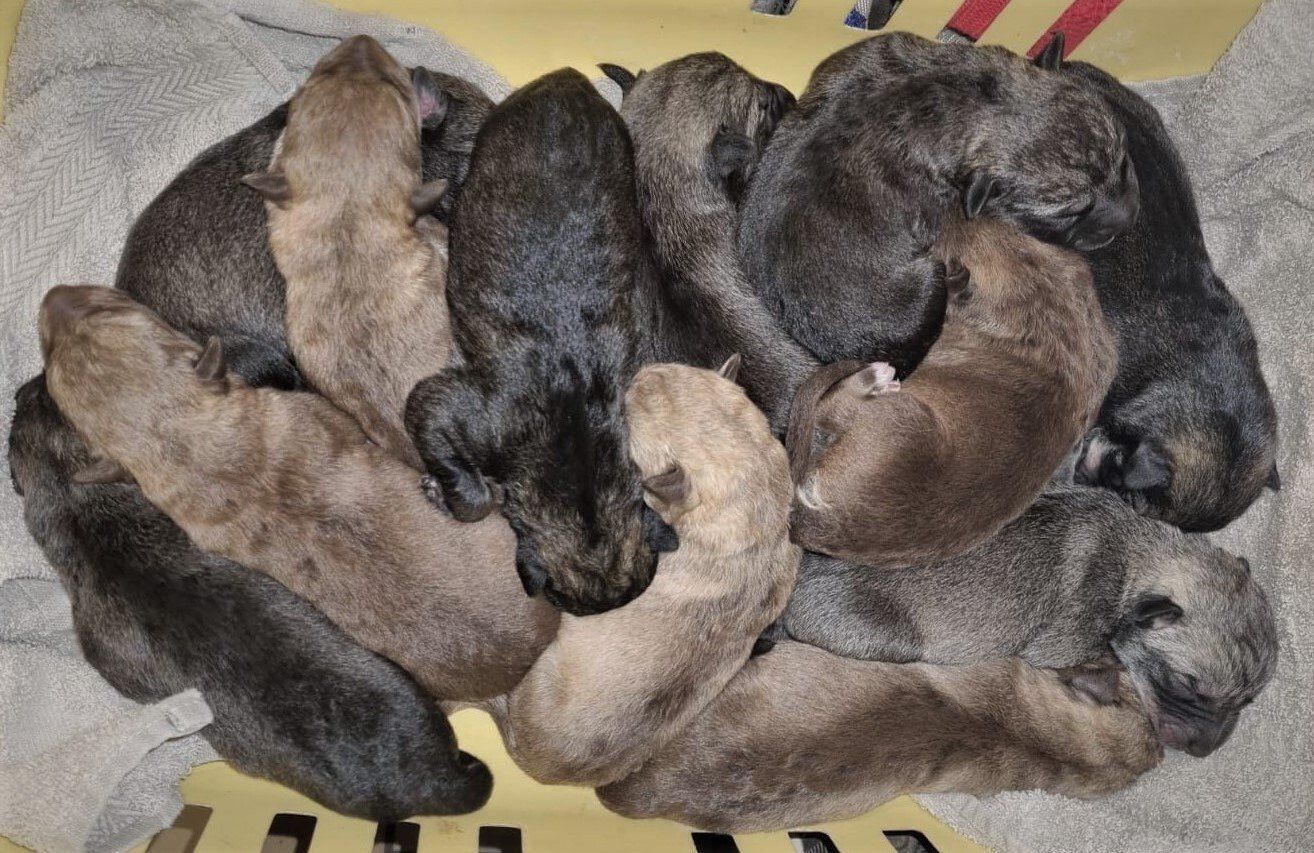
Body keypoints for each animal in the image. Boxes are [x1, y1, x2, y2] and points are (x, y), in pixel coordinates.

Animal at [783, 486, 1278, 758]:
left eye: (1248, 701)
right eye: (1187, 684)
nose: (1205, 749)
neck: (1137, 559)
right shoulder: (1065, 646)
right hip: (890, 640)